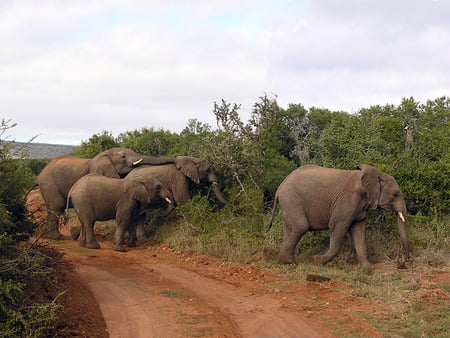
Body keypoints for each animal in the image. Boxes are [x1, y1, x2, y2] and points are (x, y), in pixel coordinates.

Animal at [36, 147, 176, 239]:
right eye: (123, 156)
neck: (105, 154)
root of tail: (40, 174)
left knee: (51, 210)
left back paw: (46, 235)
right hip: (49, 185)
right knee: (57, 207)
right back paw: (56, 237)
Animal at [268, 165, 410, 268]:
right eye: (395, 194)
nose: (403, 263)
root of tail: (280, 187)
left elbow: (359, 232)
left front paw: (368, 268)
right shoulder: (347, 202)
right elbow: (338, 227)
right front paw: (317, 261)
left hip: (288, 203)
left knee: (290, 228)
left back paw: (286, 261)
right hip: (292, 200)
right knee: (301, 226)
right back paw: (289, 261)